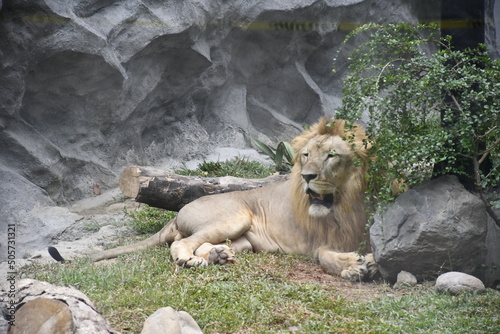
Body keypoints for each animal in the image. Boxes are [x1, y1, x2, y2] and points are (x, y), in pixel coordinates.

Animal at [51, 117, 378, 280]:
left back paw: (217, 256)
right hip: (235, 217)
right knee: (183, 243)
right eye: (306, 155)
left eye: (332, 156)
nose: (306, 177)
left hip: (243, 240)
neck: (342, 202)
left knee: (203, 243)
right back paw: (191, 260)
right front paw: (354, 267)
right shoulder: (314, 242)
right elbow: (325, 255)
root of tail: (176, 213)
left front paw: (365, 263)